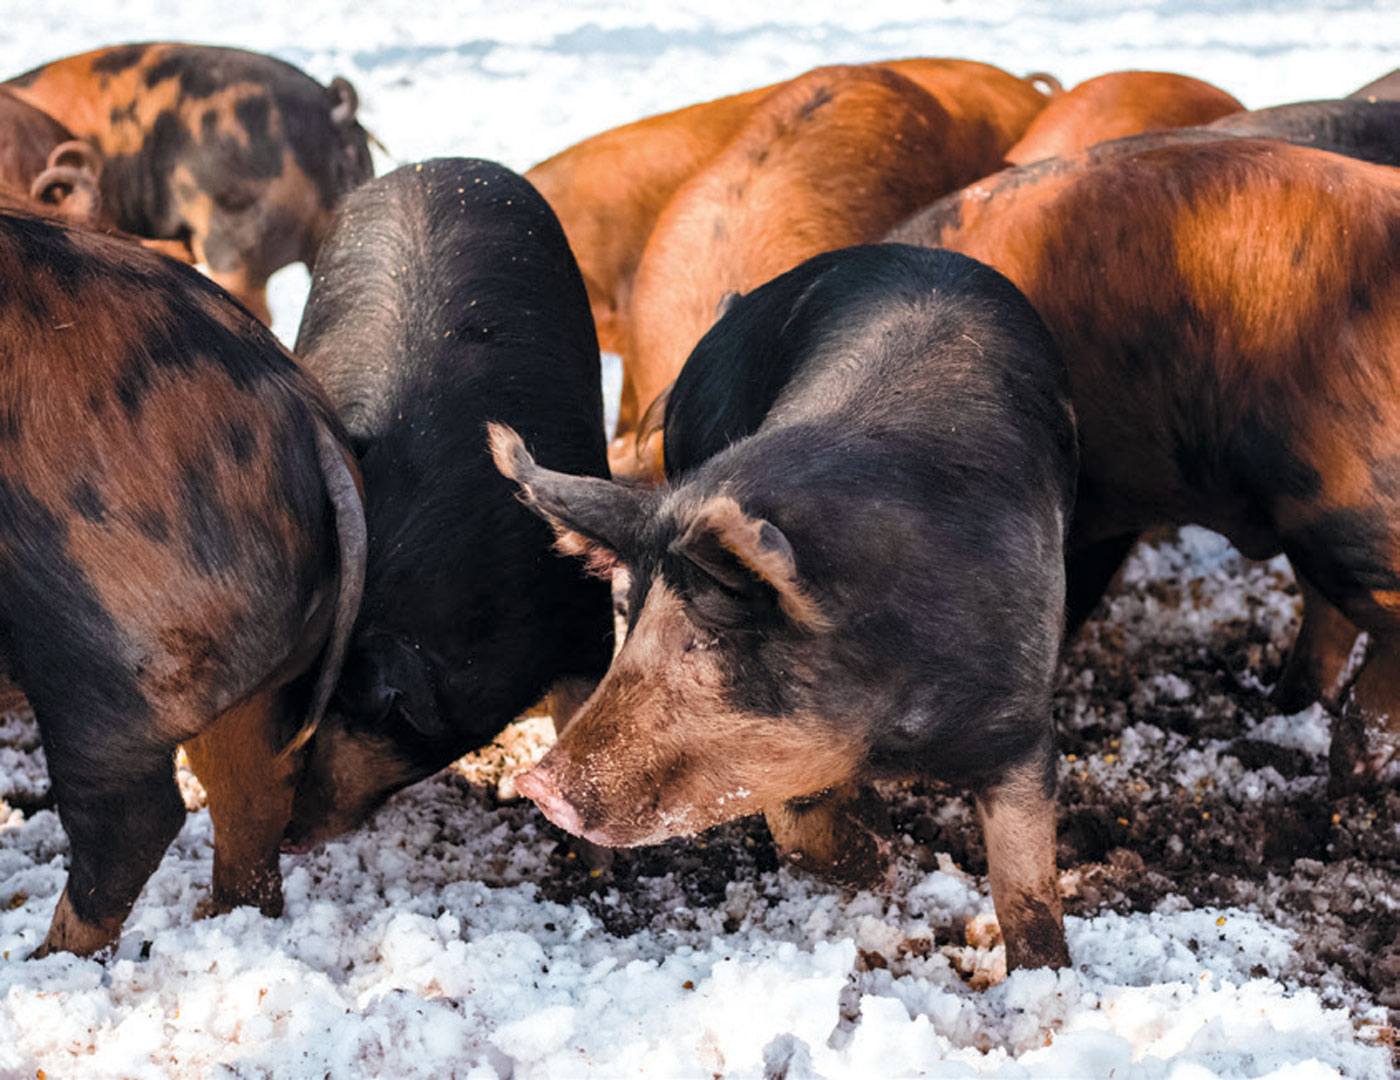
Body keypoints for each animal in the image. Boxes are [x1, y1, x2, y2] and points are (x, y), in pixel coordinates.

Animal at [0, 208, 366, 957]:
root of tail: (309, 424)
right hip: (257, 663)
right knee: (255, 785)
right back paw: (224, 921)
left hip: (97, 646)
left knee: (135, 818)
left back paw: (43, 958)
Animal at [493, 243, 1079, 972]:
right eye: (634, 621)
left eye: (704, 640)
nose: (538, 786)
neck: (888, 723)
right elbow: (796, 822)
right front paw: (884, 859)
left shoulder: (1021, 720)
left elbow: (1027, 888)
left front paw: (1047, 977)